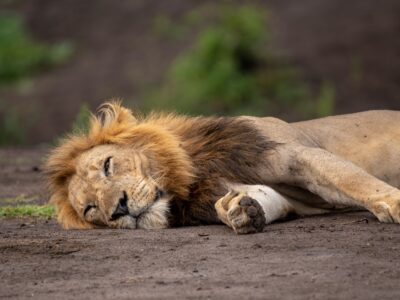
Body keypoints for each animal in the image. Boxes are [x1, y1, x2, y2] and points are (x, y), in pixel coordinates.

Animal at [45, 102, 400, 233]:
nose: (118, 209)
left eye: (108, 165)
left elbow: (350, 180)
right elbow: (263, 198)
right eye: (91, 209)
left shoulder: (292, 154)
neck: (192, 174)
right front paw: (238, 210)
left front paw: (394, 205)